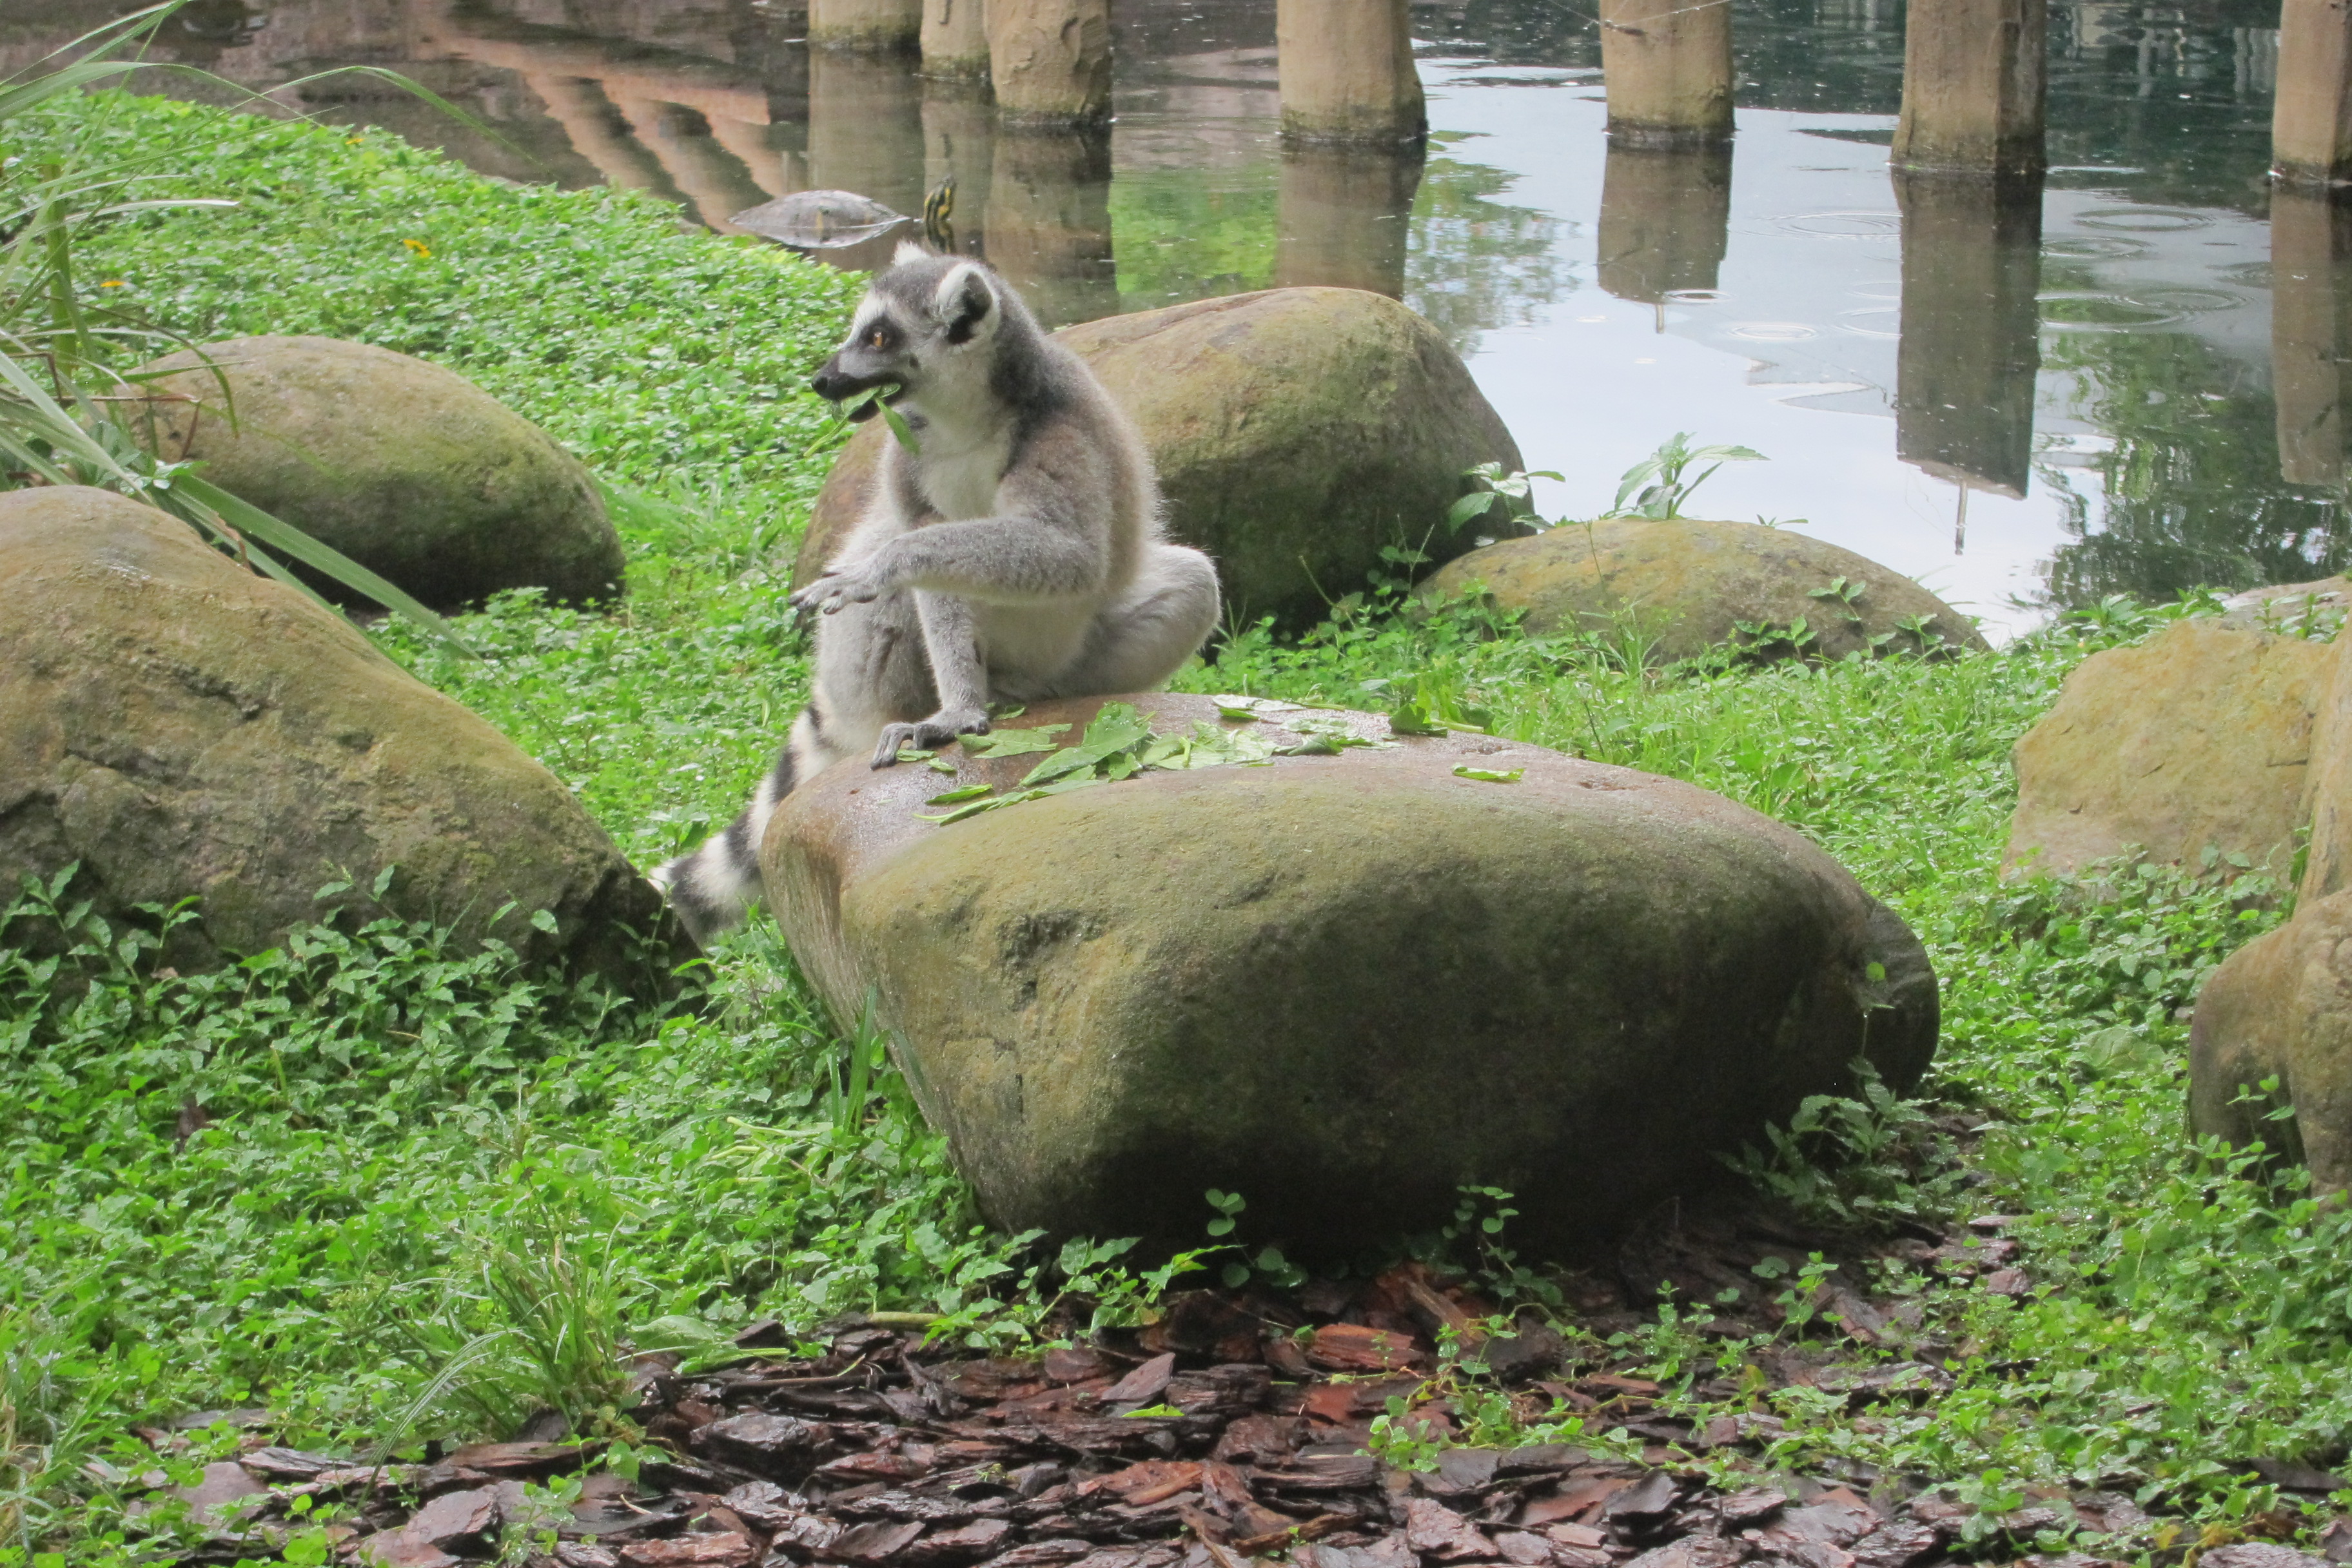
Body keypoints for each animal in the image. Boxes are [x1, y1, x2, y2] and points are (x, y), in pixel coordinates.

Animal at [650, 244, 1222, 941]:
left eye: (878, 336)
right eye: (860, 331)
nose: (823, 380)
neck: (965, 424)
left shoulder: (1060, 427)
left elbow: (1074, 559)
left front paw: (891, 566)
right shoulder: (905, 458)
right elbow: (931, 565)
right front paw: (954, 711)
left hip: (1076, 656)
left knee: (1192, 582)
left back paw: (1029, 693)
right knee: (896, 603)